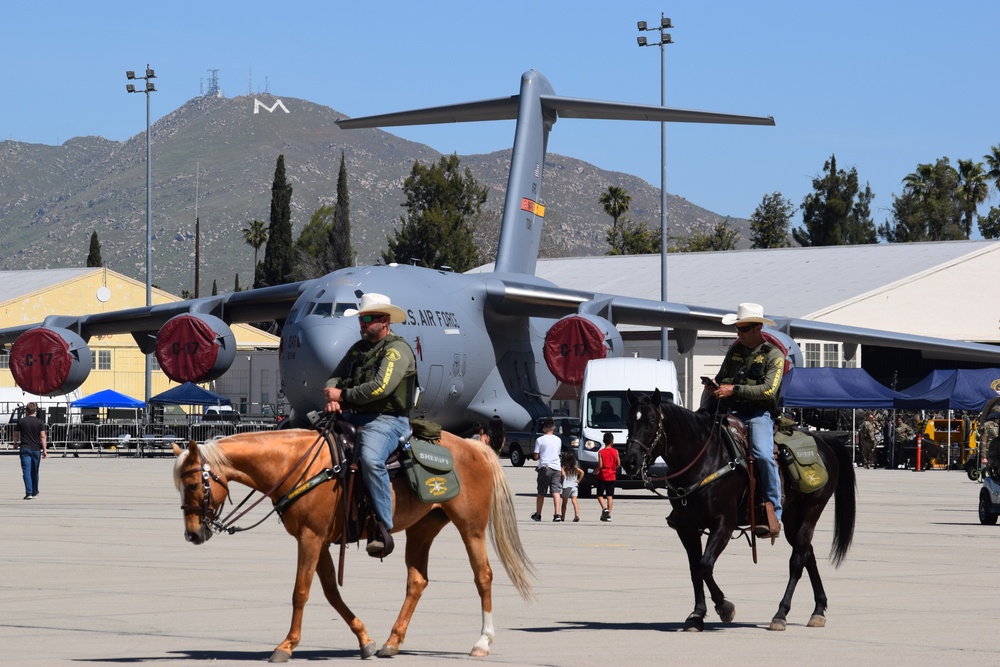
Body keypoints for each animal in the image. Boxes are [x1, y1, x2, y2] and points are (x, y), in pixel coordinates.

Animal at [174, 428, 532, 664]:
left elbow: (300, 592)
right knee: (417, 581)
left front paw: (286, 645)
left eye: (192, 484)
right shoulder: (318, 541)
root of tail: (474, 447)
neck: (295, 464)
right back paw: (392, 641)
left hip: (471, 527)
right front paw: (365, 639)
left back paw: (482, 642)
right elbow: (331, 592)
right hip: (422, 530)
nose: (192, 534)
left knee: (483, 576)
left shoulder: (310, 537)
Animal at [620, 388, 856, 636]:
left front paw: (724, 607)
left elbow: (705, 565)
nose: (630, 461)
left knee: (797, 562)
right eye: (628, 421)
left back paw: (781, 614)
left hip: (811, 511)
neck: (703, 460)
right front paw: (696, 616)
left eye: (651, 421)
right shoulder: (686, 528)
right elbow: (695, 569)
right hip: (792, 518)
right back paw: (818, 610)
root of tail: (824, 441)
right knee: (807, 554)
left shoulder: (723, 524)